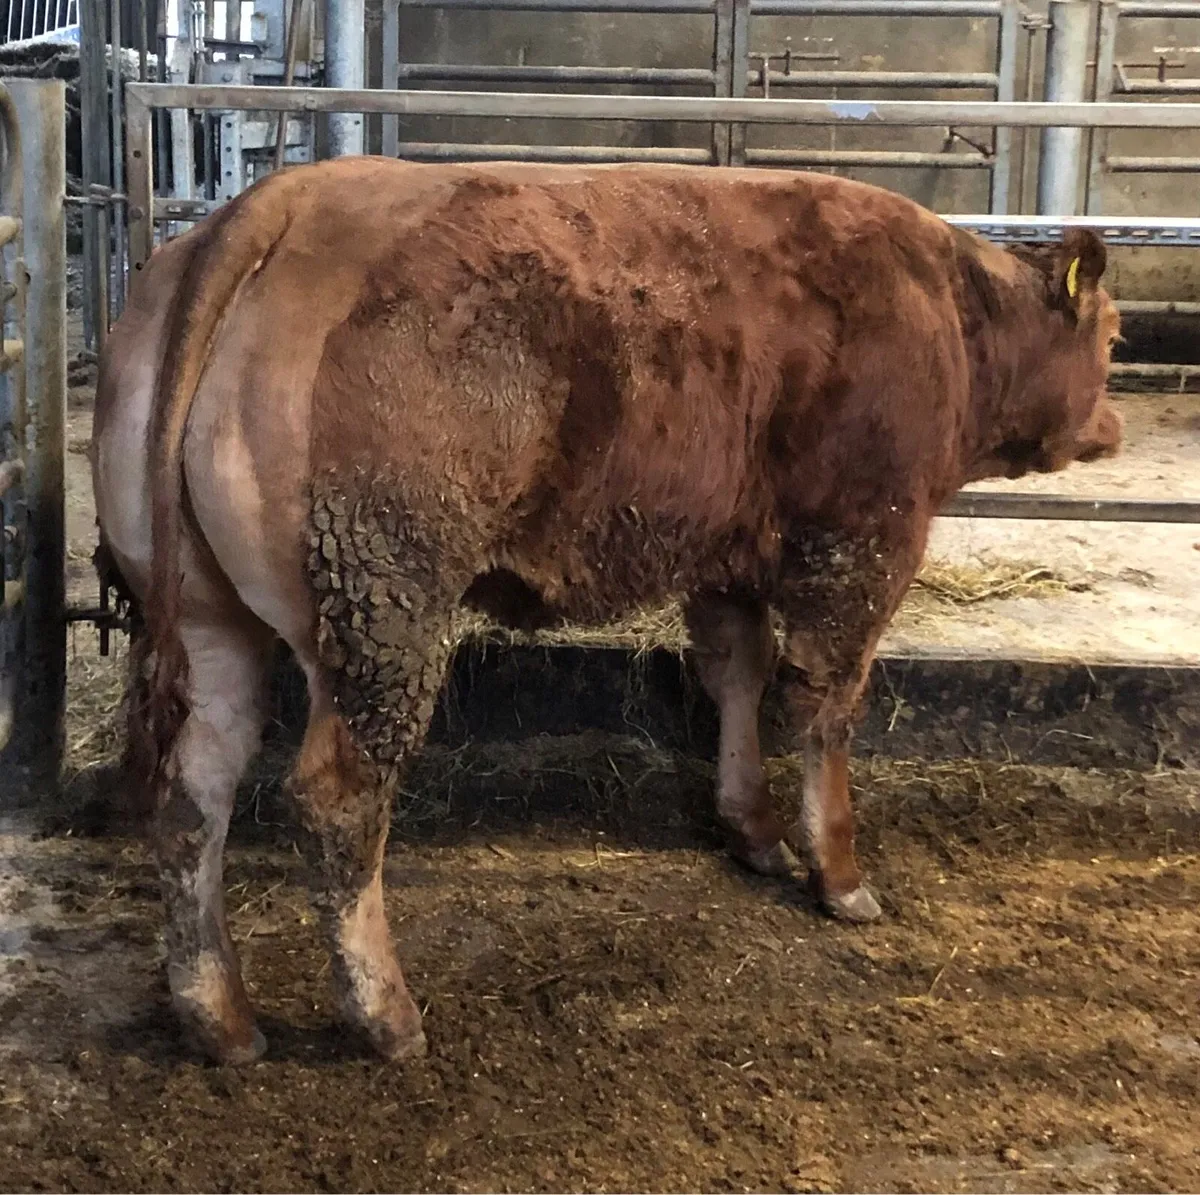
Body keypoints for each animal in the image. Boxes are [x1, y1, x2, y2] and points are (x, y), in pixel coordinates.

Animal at [92, 158, 1122, 1066]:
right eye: (1113, 338)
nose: (1111, 427)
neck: (949, 305)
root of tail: (284, 202)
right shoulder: (863, 539)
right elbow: (823, 702)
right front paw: (840, 874)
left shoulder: (727, 552)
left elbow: (738, 678)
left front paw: (751, 829)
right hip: (379, 603)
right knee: (336, 798)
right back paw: (387, 1017)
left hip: (211, 621)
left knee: (193, 793)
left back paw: (220, 1018)